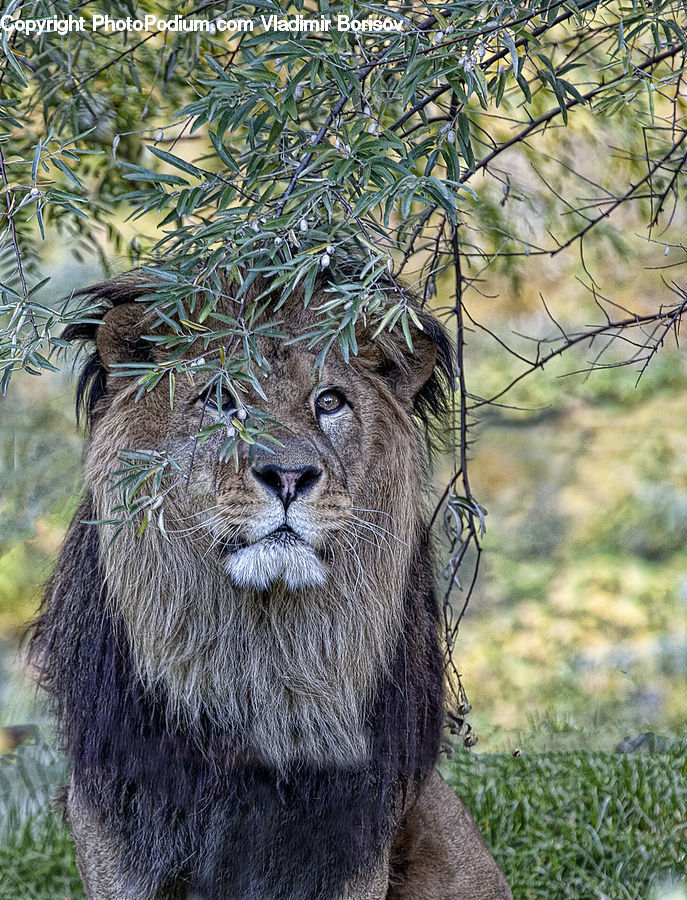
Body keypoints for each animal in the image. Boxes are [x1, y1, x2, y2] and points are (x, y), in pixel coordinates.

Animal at [29, 268, 512, 899]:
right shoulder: (116, 826)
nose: (287, 475)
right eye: (220, 400)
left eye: (329, 402)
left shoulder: (347, 839)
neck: (261, 653)